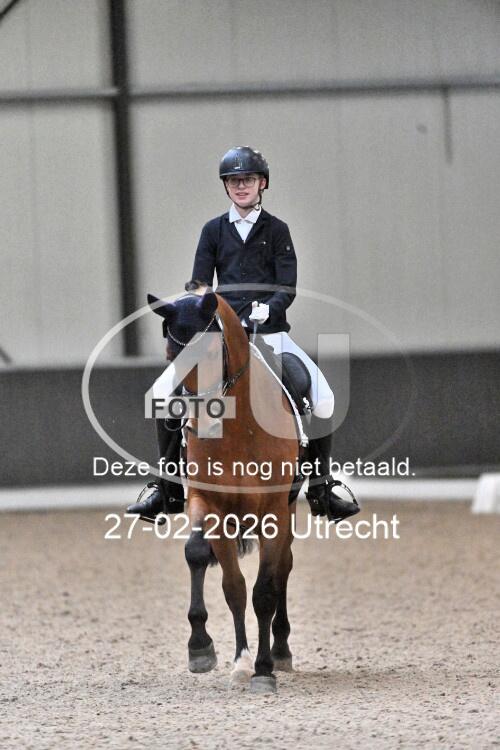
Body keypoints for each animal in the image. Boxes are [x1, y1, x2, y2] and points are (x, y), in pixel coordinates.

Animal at [149, 284, 302, 694]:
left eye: (208, 353)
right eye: (170, 355)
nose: (193, 425)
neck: (237, 427)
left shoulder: (273, 513)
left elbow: (264, 591)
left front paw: (263, 669)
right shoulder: (210, 504)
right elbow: (227, 582)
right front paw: (215, 652)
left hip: (288, 511)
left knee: (283, 568)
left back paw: (280, 650)